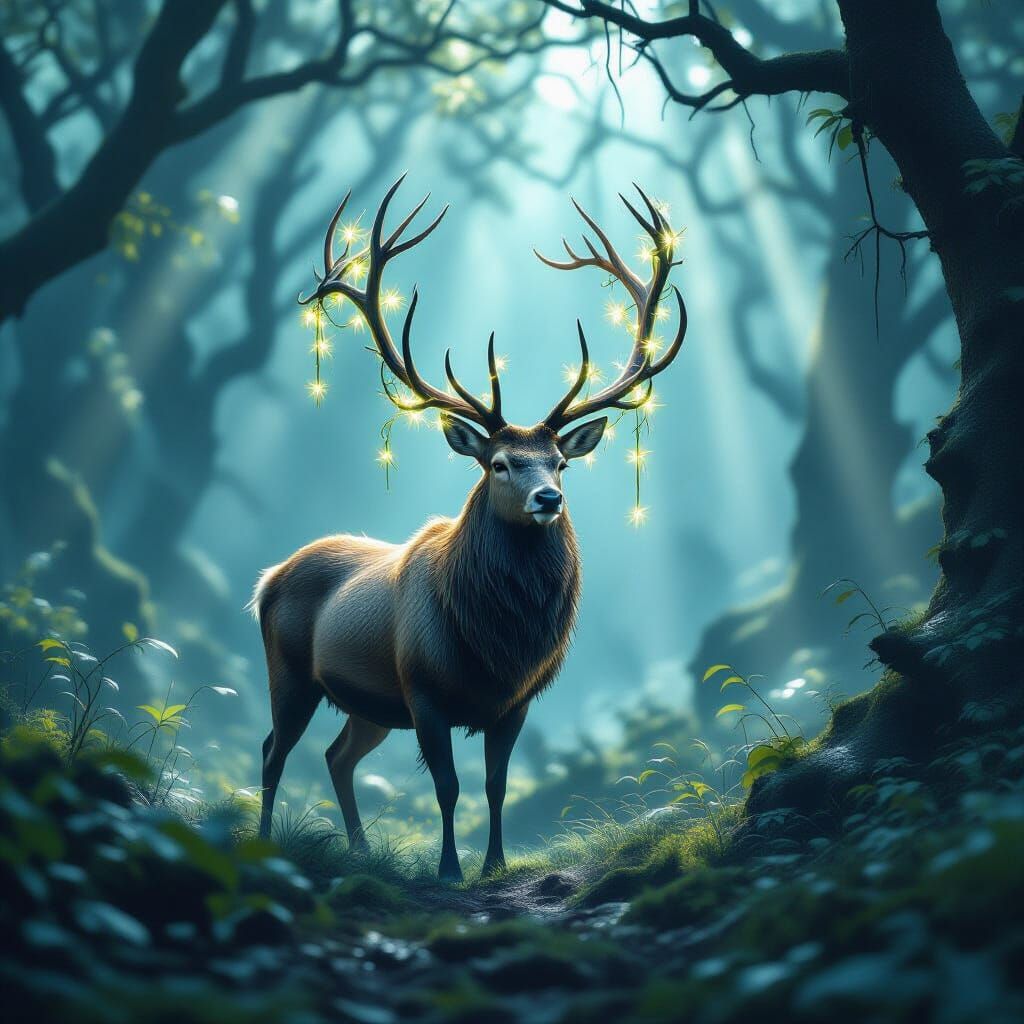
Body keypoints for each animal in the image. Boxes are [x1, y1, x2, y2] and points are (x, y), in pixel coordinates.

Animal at [251, 175, 687, 881]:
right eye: (501, 462)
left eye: (561, 461)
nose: (548, 499)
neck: (495, 645)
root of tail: (267, 578)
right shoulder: (423, 689)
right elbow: (448, 787)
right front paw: (451, 870)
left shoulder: (517, 701)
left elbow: (495, 785)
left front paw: (494, 866)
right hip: (289, 669)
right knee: (273, 750)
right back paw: (266, 840)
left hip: (369, 705)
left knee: (337, 756)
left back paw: (361, 850)